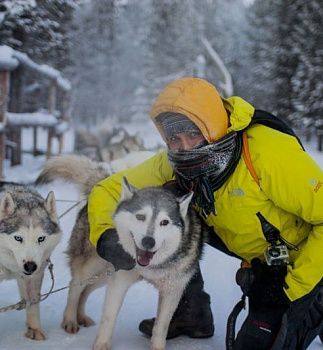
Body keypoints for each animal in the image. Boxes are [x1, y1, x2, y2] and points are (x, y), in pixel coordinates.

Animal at [0, 183, 60, 340]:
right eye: (18, 238)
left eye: (41, 238)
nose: (30, 266)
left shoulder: (35, 276)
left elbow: (33, 304)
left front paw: (34, 329)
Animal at [37, 156, 205, 350]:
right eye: (140, 217)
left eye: (164, 222)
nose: (148, 242)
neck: (149, 268)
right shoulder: (120, 281)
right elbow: (109, 317)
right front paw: (101, 345)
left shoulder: (172, 291)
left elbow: (161, 327)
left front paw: (157, 346)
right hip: (91, 267)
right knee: (75, 288)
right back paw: (70, 320)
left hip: (105, 274)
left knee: (85, 291)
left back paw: (81, 316)